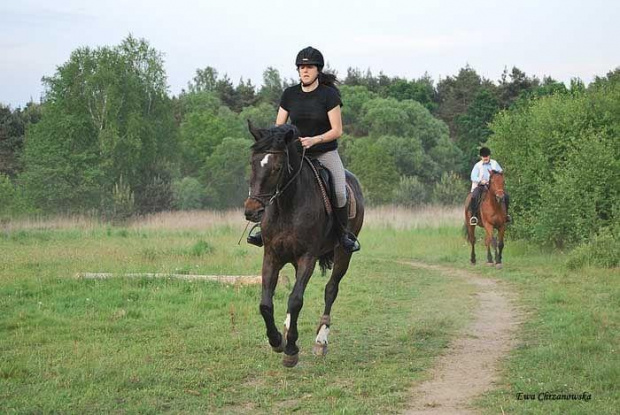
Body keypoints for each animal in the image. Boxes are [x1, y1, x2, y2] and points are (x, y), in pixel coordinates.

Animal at [242, 122, 364, 368]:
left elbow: (296, 300)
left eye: (277, 168)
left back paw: (321, 340)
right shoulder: (272, 256)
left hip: (343, 253)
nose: (251, 211)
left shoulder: (308, 256)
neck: (288, 205)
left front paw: (290, 350)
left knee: (331, 289)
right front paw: (277, 340)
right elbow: (265, 304)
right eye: (252, 163)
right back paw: (287, 328)